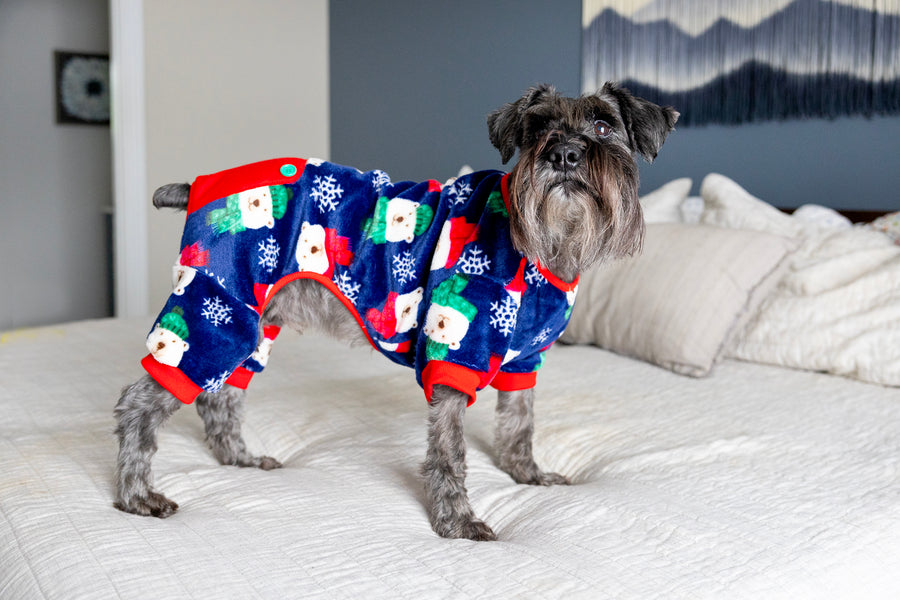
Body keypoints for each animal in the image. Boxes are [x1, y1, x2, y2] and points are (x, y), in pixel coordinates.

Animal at [114, 83, 676, 540]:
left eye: (603, 125)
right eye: (537, 128)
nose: (563, 153)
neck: (545, 246)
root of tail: (199, 185)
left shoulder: (523, 363)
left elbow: (519, 422)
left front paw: (527, 475)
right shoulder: (453, 359)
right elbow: (450, 453)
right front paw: (457, 522)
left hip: (248, 326)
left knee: (220, 397)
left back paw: (241, 460)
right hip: (213, 311)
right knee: (139, 403)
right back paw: (135, 496)